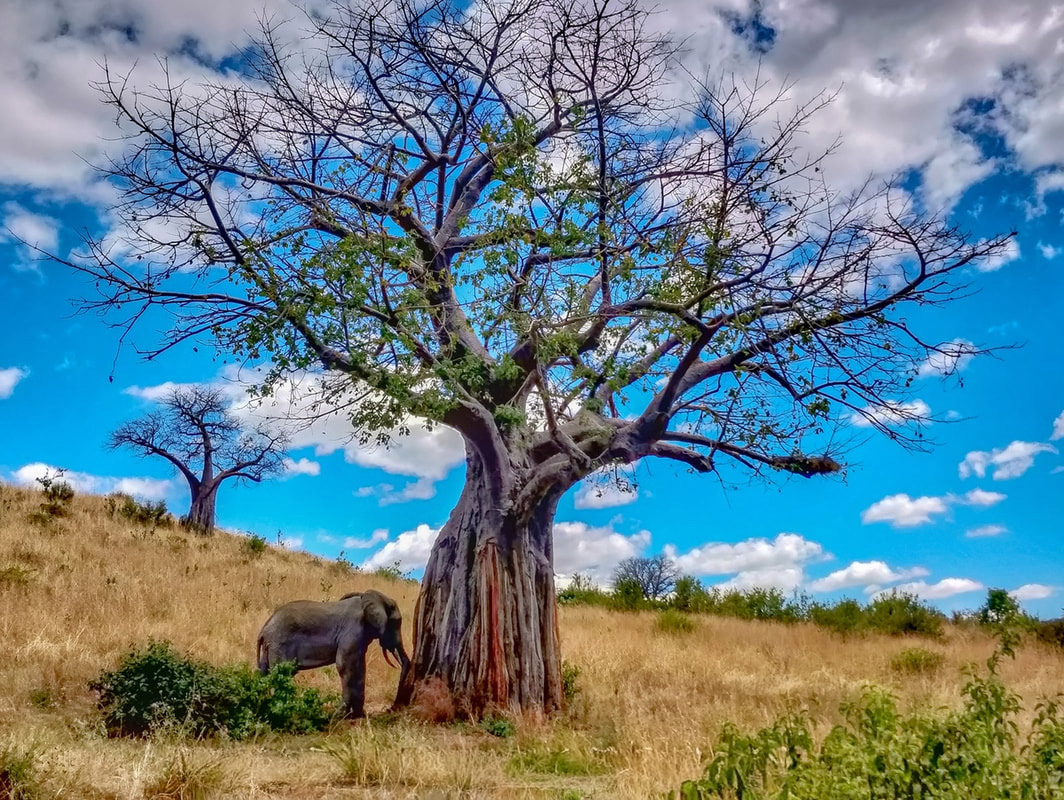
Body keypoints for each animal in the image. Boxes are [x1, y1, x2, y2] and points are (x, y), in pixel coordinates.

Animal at [256, 588, 411, 717]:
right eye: (397, 623)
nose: (391, 708)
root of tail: (264, 630)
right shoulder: (353, 629)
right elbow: (345, 666)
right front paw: (342, 715)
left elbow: (360, 667)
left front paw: (358, 715)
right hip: (279, 643)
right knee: (282, 673)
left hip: (270, 647)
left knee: (263, 672)